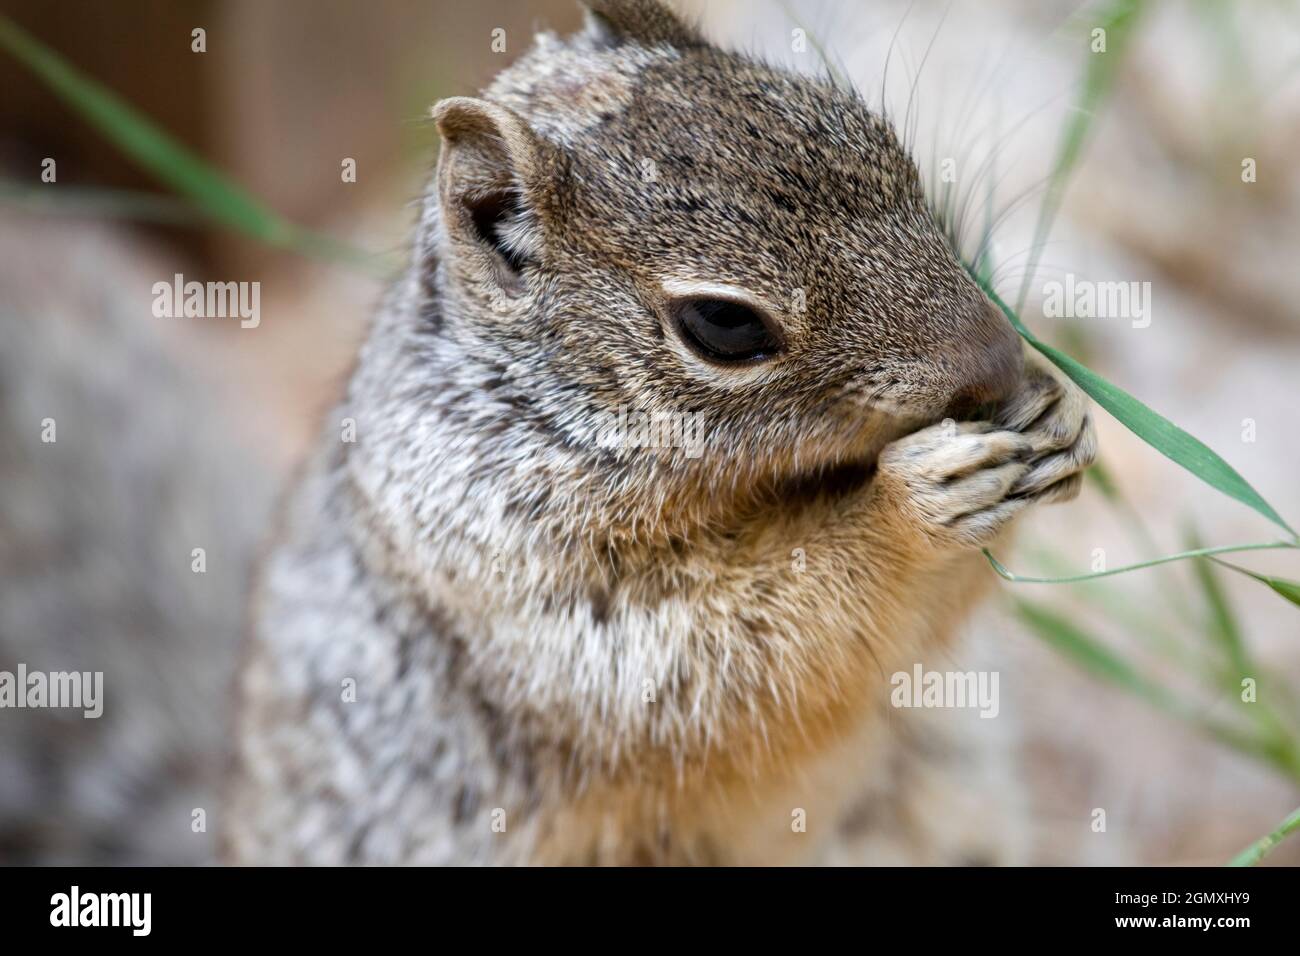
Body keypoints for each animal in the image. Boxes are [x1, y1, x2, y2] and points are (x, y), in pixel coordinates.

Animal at [223, 0, 1097, 868]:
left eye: (885, 146)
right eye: (723, 323)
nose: (997, 359)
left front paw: (1059, 408)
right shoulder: (528, 589)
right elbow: (738, 663)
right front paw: (910, 505)